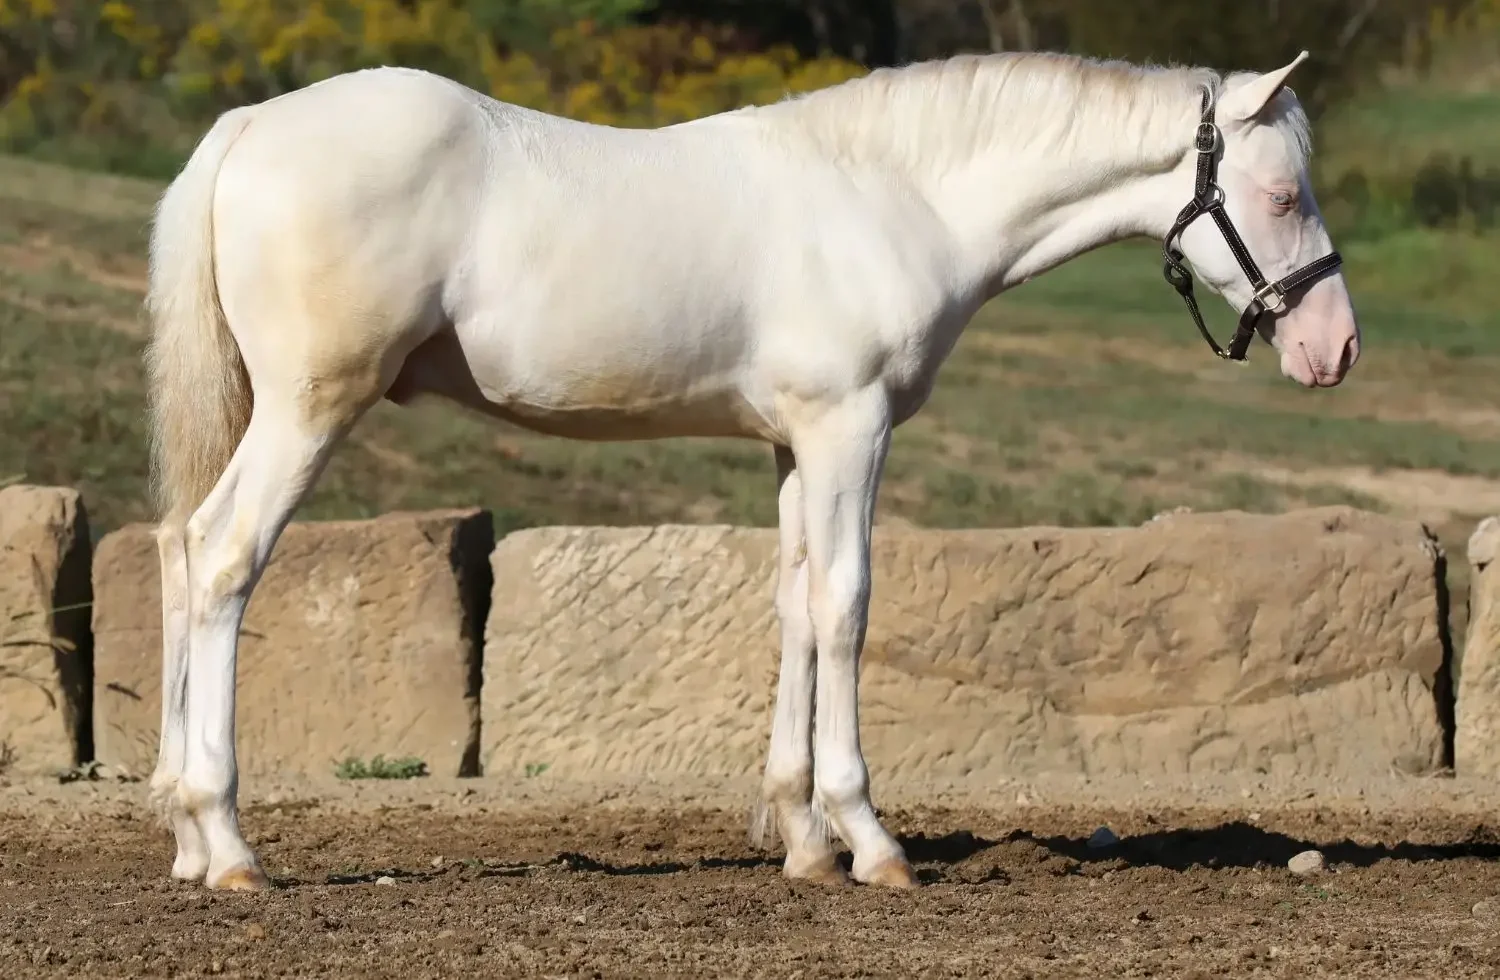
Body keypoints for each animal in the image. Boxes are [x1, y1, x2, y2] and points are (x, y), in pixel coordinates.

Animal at [141, 47, 1360, 892]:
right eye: (1283, 196)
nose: (1335, 348)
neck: (895, 194)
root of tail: (250, 126)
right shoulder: (850, 428)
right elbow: (848, 603)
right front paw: (870, 840)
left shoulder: (793, 443)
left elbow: (794, 604)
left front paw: (804, 840)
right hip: (309, 409)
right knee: (224, 561)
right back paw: (232, 843)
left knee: (178, 550)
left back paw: (190, 841)